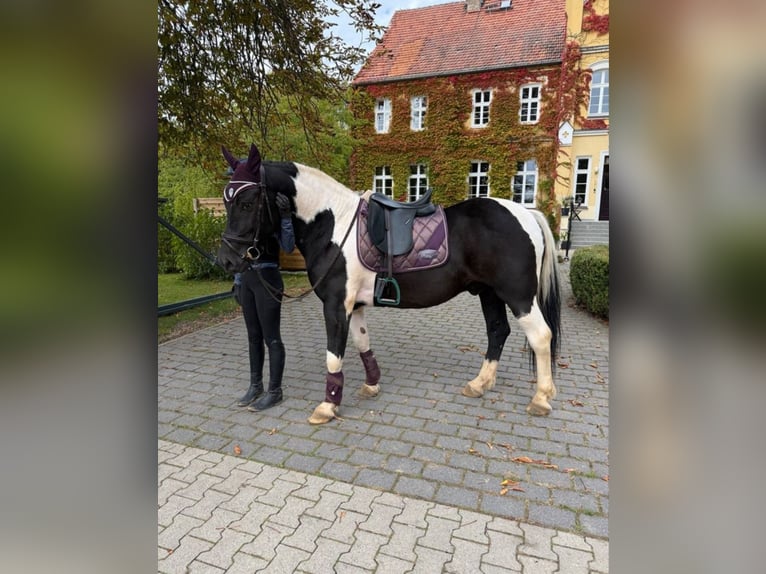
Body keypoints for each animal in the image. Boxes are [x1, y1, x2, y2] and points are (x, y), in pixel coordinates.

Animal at [217, 143, 561, 425]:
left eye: (247, 203)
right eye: (226, 201)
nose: (227, 260)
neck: (333, 224)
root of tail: (526, 214)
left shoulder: (335, 305)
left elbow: (334, 355)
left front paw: (327, 407)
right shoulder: (353, 305)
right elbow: (362, 343)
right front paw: (371, 385)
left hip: (518, 296)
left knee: (541, 336)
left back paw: (541, 398)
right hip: (489, 293)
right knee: (497, 331)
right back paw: (479, 384)